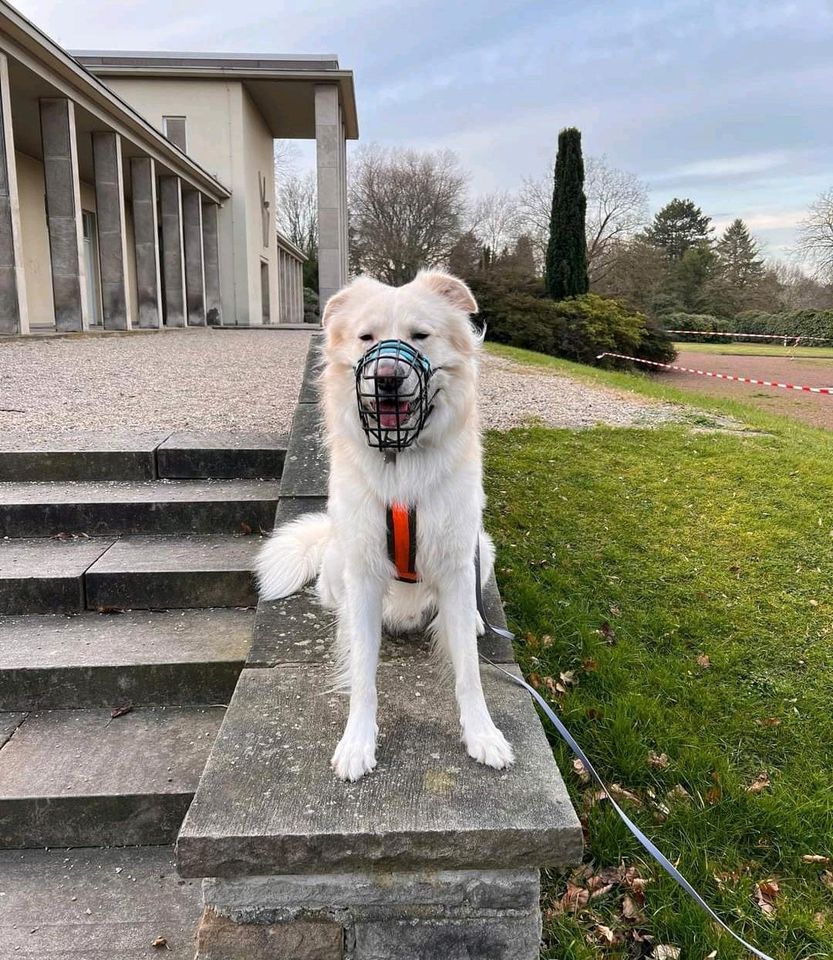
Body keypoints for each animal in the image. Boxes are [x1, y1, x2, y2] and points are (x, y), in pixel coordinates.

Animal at [255, 268, 512, 780]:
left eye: (420, 336)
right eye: (366, 338)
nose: (387, 378)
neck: (400, 461)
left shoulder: (457, 560)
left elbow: (469, 674)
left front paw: (482, 735)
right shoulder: (366, 569)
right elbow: (363, 676)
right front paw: (358, 742)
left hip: (482, 547)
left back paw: (474, 620)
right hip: (341, 558)